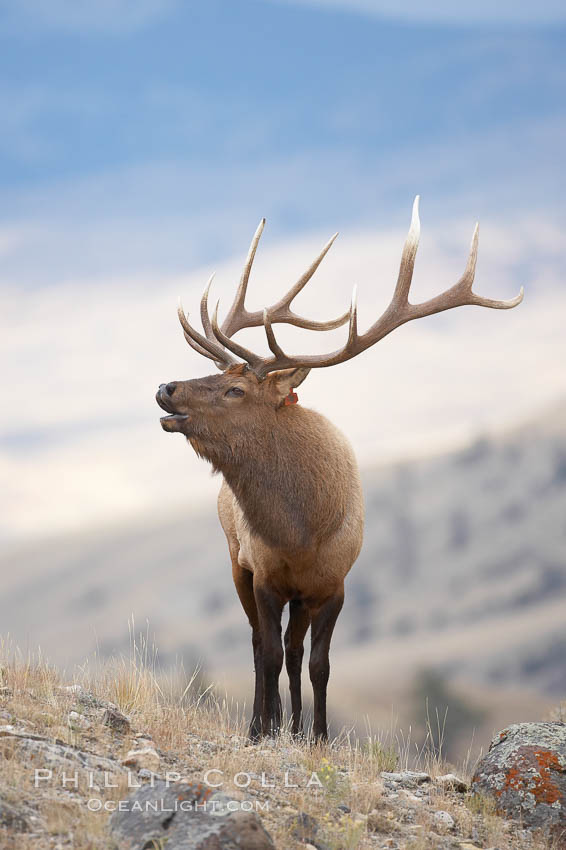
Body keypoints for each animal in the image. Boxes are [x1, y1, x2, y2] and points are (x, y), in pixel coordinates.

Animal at [156, 197, 524, 736]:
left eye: (235, 389)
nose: (166, 388)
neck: (301, 532)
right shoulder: (263, 574)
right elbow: (266, 653)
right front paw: (264, 730)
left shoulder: (335, 584)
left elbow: (318, 664)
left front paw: (317, 736)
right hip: (234, 557)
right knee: (260, 645)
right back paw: (264, 722)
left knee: (292, 650)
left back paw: (293, 724)